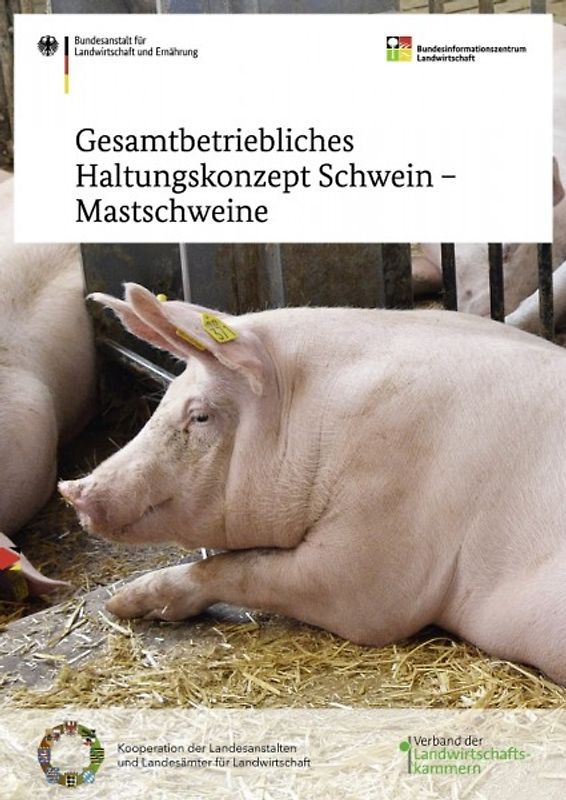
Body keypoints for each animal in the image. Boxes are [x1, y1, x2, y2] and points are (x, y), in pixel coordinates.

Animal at [60, 283, 566, 686]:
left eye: (200, 416)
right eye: (164, 398)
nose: (73, 489)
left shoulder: (376, 556)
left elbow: (243, 568)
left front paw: (125, 603)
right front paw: (123, 603)